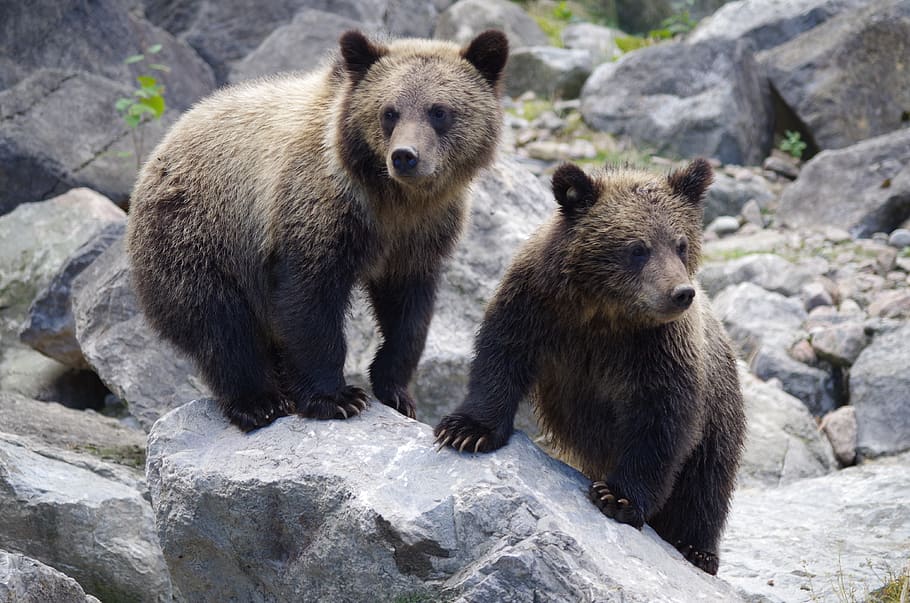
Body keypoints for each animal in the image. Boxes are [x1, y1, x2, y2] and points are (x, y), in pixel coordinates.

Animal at [126, 30, 508, 431]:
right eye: (389, 112)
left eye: (439, 111)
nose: (405, 156)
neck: (391, 200)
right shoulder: (317, 212)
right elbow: (310, 302)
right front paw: (336, 397)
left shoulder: (419, 236)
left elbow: (408, 313)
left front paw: (396, 391)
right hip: (199, 234)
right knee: (222, 325)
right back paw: (258, 401)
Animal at [434, 159, 746, 575]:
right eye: (637, 248)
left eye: (681, 243)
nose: (681, 293)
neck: (604, 313)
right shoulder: (536, 307)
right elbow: (501, 358)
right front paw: (467, 431)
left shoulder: (658, 351)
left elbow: (660, 422)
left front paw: (618, 497)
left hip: (721, 409)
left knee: (706, 482)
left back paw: (697, 549)